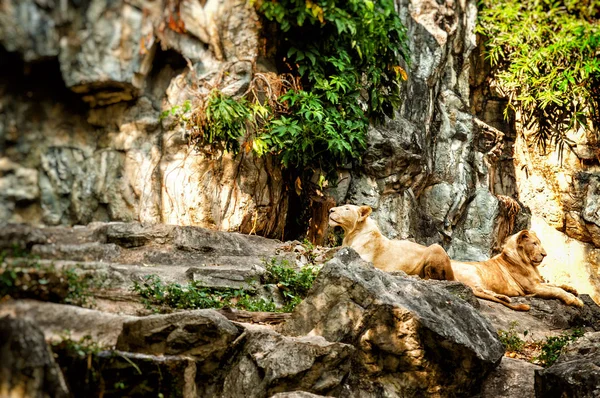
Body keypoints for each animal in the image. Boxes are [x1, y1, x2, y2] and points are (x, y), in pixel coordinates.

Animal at [452, 230, 584, 310]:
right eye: (534, 243)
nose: (545, 254)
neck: (529, 264)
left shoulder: (537, 282)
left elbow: (555, 285)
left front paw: (571, 289)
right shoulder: (533, 287)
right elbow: (556, 290)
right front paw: (574, 300)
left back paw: (503, 298)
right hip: (473, 272)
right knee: (477, 290)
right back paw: (505, 298)